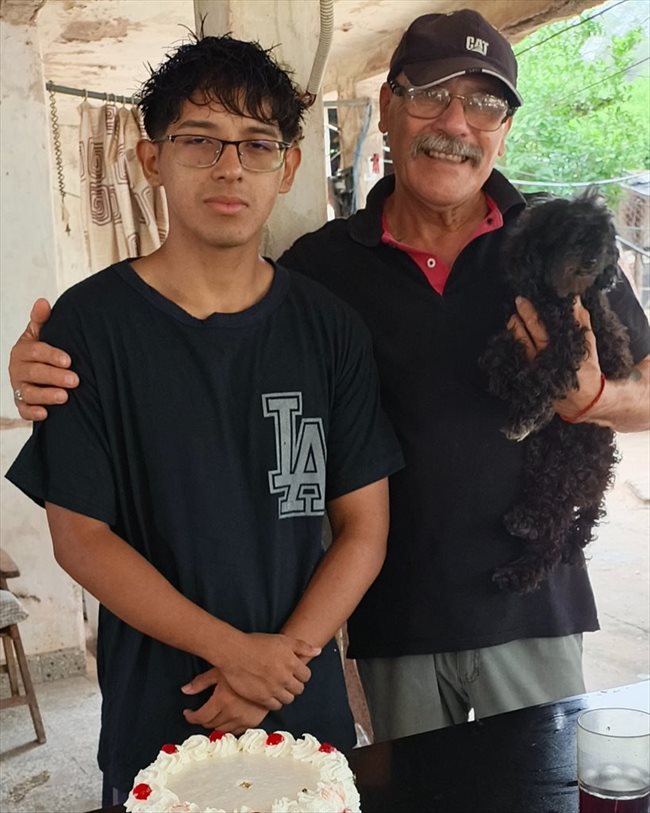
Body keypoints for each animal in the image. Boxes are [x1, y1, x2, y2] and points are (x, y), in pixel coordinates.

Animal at [479, 189, 634, 593]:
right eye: (569, 232)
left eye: (602, 241)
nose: (592, 259)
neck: (555, 298)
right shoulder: (518, 325)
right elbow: (497, 356)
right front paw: (506, 377)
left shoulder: (570, 344)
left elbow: (544, 377)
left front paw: (524, 414)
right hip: (544, 461)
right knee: (547, 515)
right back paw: (523, 521)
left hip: (570, 467)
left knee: (553, 537)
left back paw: (518, 571)